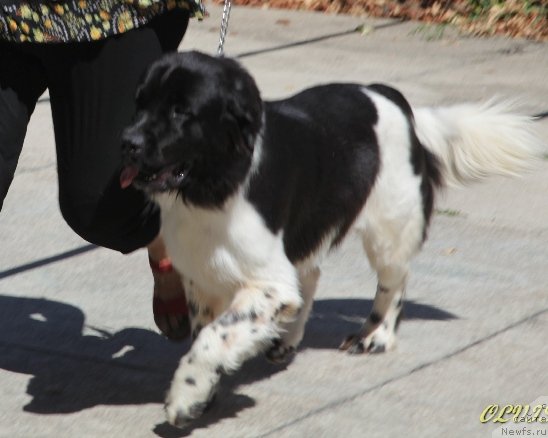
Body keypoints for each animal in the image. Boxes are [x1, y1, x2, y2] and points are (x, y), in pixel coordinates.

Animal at [120, 50, 544, 424]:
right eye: (139, 104)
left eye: (181, 111)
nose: (128, 142)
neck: (215, 182)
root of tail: (391, 98)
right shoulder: (203, 274)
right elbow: (208, 332)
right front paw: (204, 392)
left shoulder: (268, 281)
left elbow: (213, 337)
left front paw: (184, 397)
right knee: (311, 275)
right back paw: (288, 339)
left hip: (389, 229)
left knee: (394, 280)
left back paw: (376, 335)